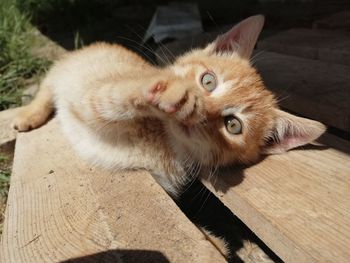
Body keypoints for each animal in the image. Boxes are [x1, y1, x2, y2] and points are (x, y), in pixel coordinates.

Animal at [13, 14, 326, 196]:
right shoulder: (95, 95)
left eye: (233, 125)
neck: (161, 141)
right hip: (65, 69)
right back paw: (28, 115)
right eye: (208, 81)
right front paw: (174, 93)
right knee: (46, 87)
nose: (203, 114)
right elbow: (118, 94)